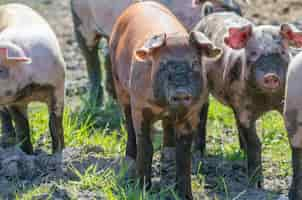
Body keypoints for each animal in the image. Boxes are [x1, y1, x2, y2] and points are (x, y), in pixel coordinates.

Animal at [108, 1, 222, 198]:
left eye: (194, 63)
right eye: (163, 64)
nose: (181, 93)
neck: (165, 105)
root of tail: (139, 4)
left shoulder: (192, 112)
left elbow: (184, 154)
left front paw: (185, 195)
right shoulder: (140, 107)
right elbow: (146, 146)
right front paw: (142, 190)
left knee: (167, 129)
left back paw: (167, 158)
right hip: (120, 86)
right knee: (128, 124)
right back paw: (129, 160)